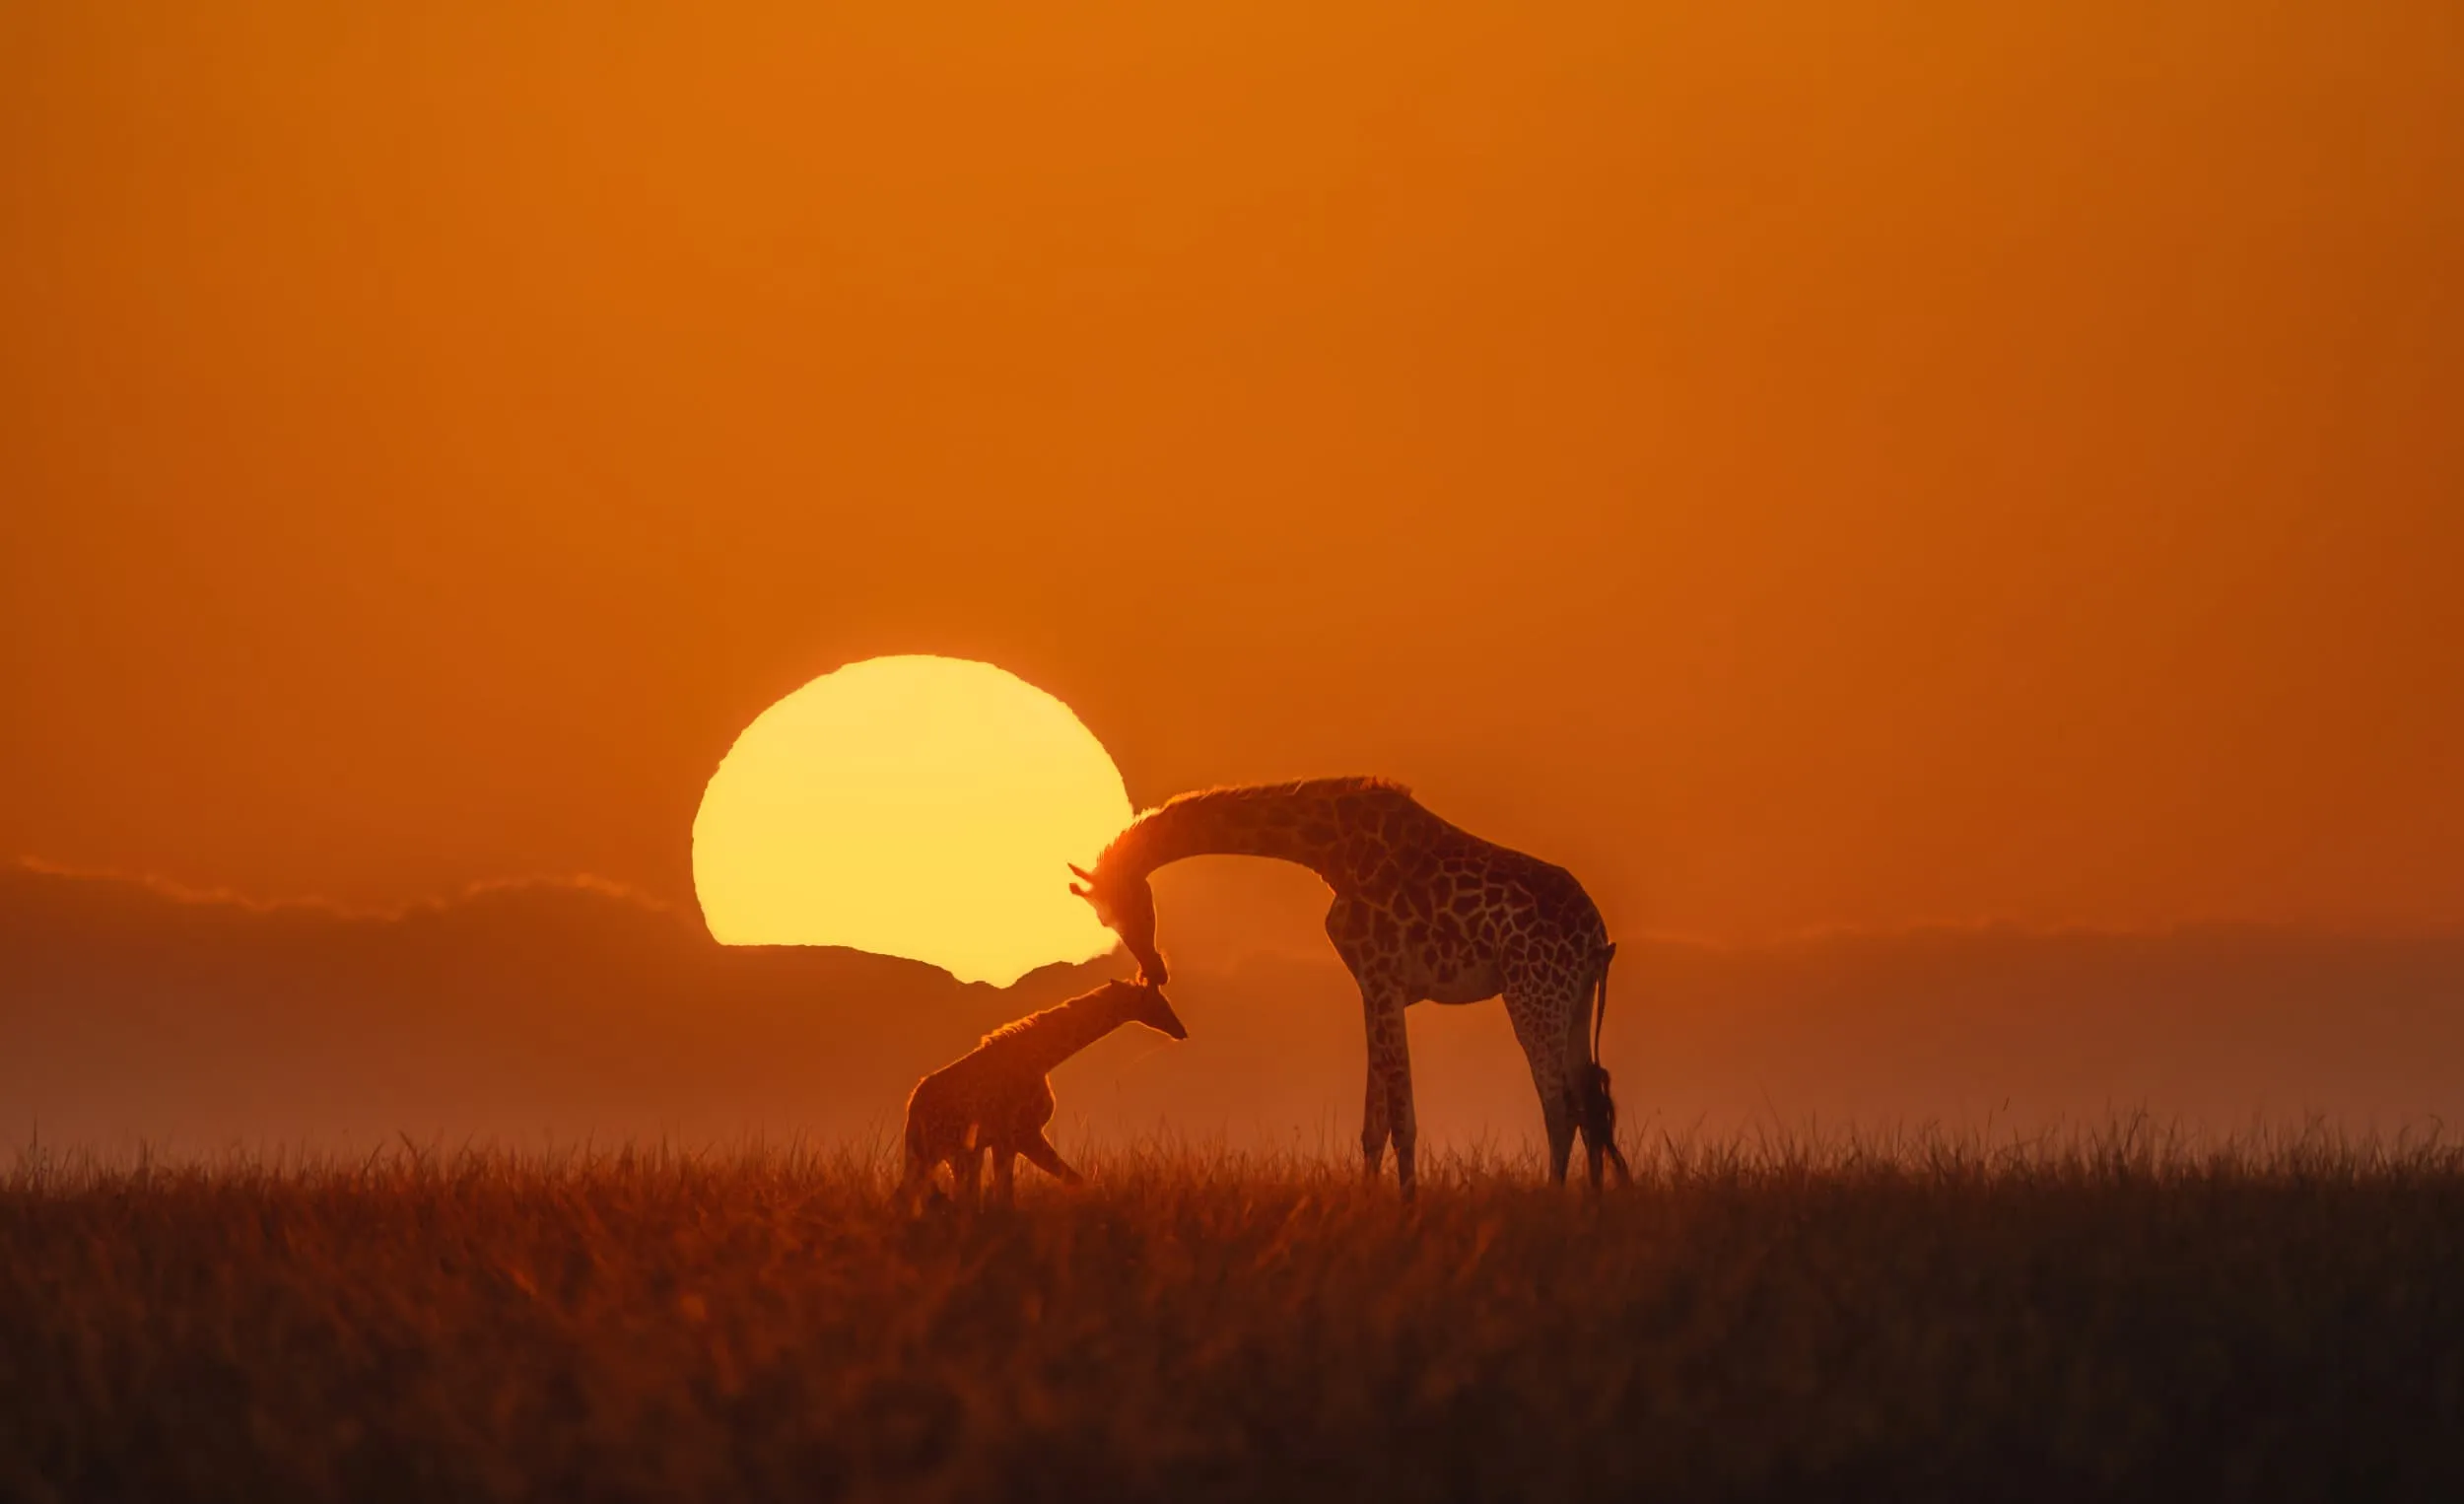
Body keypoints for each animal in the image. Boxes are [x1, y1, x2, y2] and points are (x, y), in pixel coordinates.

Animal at [898, 977, 1187, 1210]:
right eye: (1157, 1002)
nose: (1180, 1030)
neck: (1042, 1059)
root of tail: (912, 1105)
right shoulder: (1022, 1134)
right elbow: (1068, 1182)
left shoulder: (1003, 1142)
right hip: (936, 1153)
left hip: (958, 1155)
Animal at [1069, 777, 1631, 1198]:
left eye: (1112, 911)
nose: (1155, 969)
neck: (1330, 848)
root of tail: (1597, 936)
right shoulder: (1372, 985)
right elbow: (1374, 1121)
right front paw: (1371, 1201)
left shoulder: (1382, 977)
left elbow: (1400, 1115)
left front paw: (1408, 1205)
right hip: (1574, 1000)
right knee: (1588, 1100)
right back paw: (1591, 1202)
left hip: (1532, 994)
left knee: (1560, 1103)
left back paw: (1555, 1199)